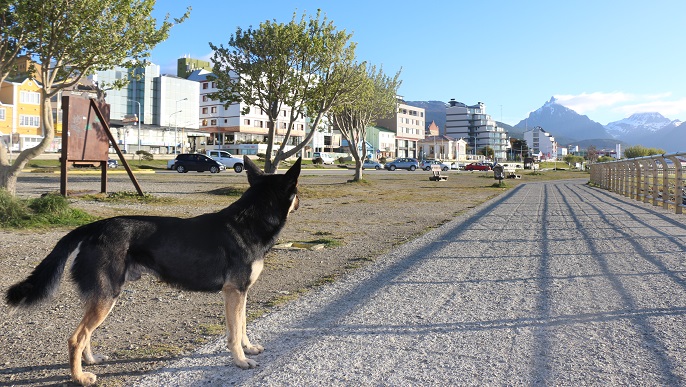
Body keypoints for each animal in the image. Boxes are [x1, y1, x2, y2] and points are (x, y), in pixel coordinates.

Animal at [5, 156, 300, 386]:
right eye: (297, 192)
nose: (300, 202)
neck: (251, 220)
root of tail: (94, 227)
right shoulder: (234, 292)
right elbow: (235, 332)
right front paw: (240, 360)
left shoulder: (240, 293)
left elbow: (242, 326)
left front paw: (248, 348)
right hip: (107, 296)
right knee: (76, 338)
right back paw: (80, 377)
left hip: (101, 296)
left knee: (85, 334)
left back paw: (90, 361)